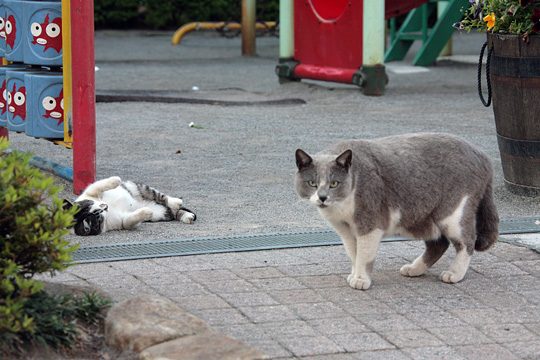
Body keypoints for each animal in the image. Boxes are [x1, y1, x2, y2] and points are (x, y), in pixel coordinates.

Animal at [65, 176, 196, 236]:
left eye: (90, 206)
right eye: (94, 221)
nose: (103, 209)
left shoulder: (90, 192)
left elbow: (100, 185)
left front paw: (116, 180)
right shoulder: (123, 221)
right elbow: (129, 220)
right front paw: (146, 212)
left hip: (140, 188)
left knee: (162, 197)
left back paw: (176, 202)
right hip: (160, 213)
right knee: (172, 211)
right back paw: (186, 216)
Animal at [296, 132, 498, 290]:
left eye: (334, 183)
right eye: (312, 183)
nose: (322, 197)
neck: (340, 209)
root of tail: (483, 156)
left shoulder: (370, 225)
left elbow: (364, 256)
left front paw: (361, 280)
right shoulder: (346, 232)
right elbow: (354, 254)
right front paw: (354, 275)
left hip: (452, 214)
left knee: (467, 241)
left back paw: (454, 274)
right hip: (425, 218)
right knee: (438, 244)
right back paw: (414, 269)